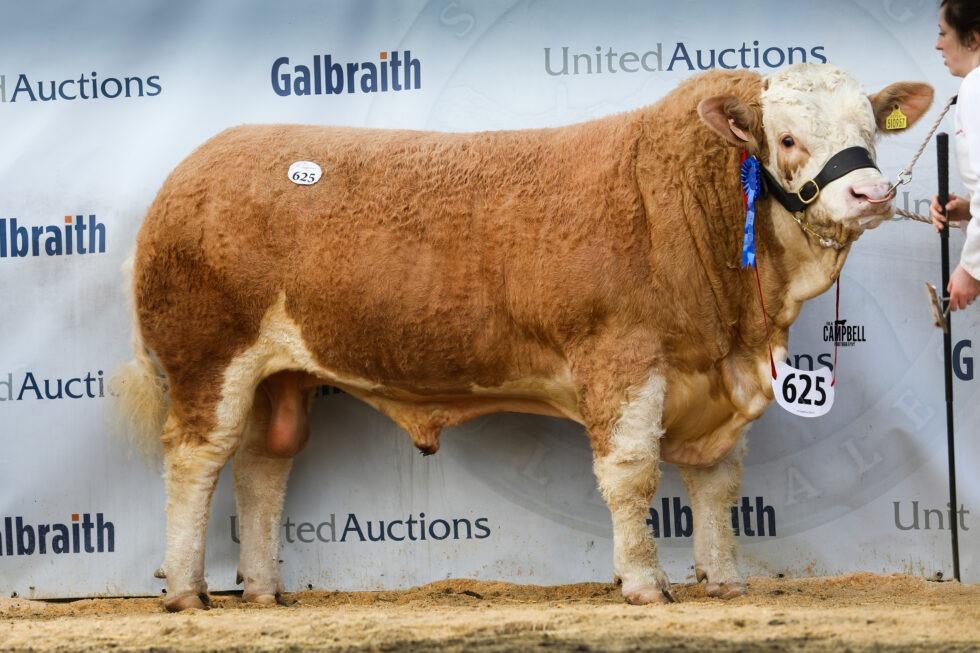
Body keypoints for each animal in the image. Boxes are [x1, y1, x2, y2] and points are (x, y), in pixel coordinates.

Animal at [113, 64, 933, 611]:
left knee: (262, 465)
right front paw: (644, 583)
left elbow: (717, 484)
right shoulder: (621, 357)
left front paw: (724, 580)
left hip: (280, 376)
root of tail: (197, 166)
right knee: (197, 460)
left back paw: (262, 591)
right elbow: (632, 474)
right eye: (787, 138)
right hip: (207, 357)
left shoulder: (718, 381)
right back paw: (186, 592)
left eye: (871, 132)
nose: (872, 192)